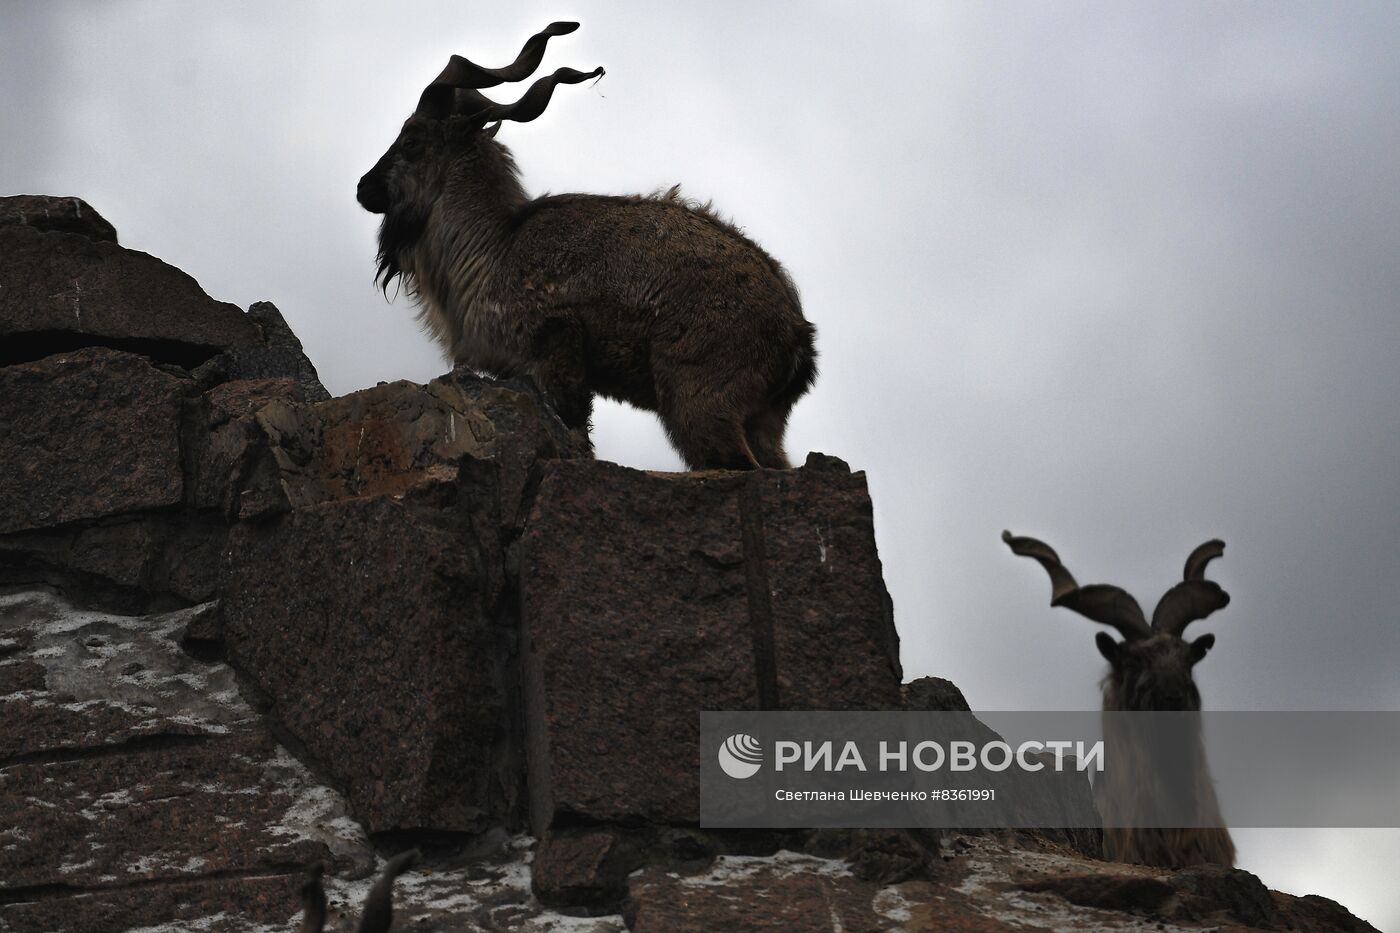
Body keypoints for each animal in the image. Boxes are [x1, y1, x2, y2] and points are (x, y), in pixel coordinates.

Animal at [361, 21, 817, 467]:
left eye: (411, 141)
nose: (364, 187)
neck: (495, 247)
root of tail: (796, 333)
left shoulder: (555, 349)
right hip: (763, 421)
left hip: (699, 400)